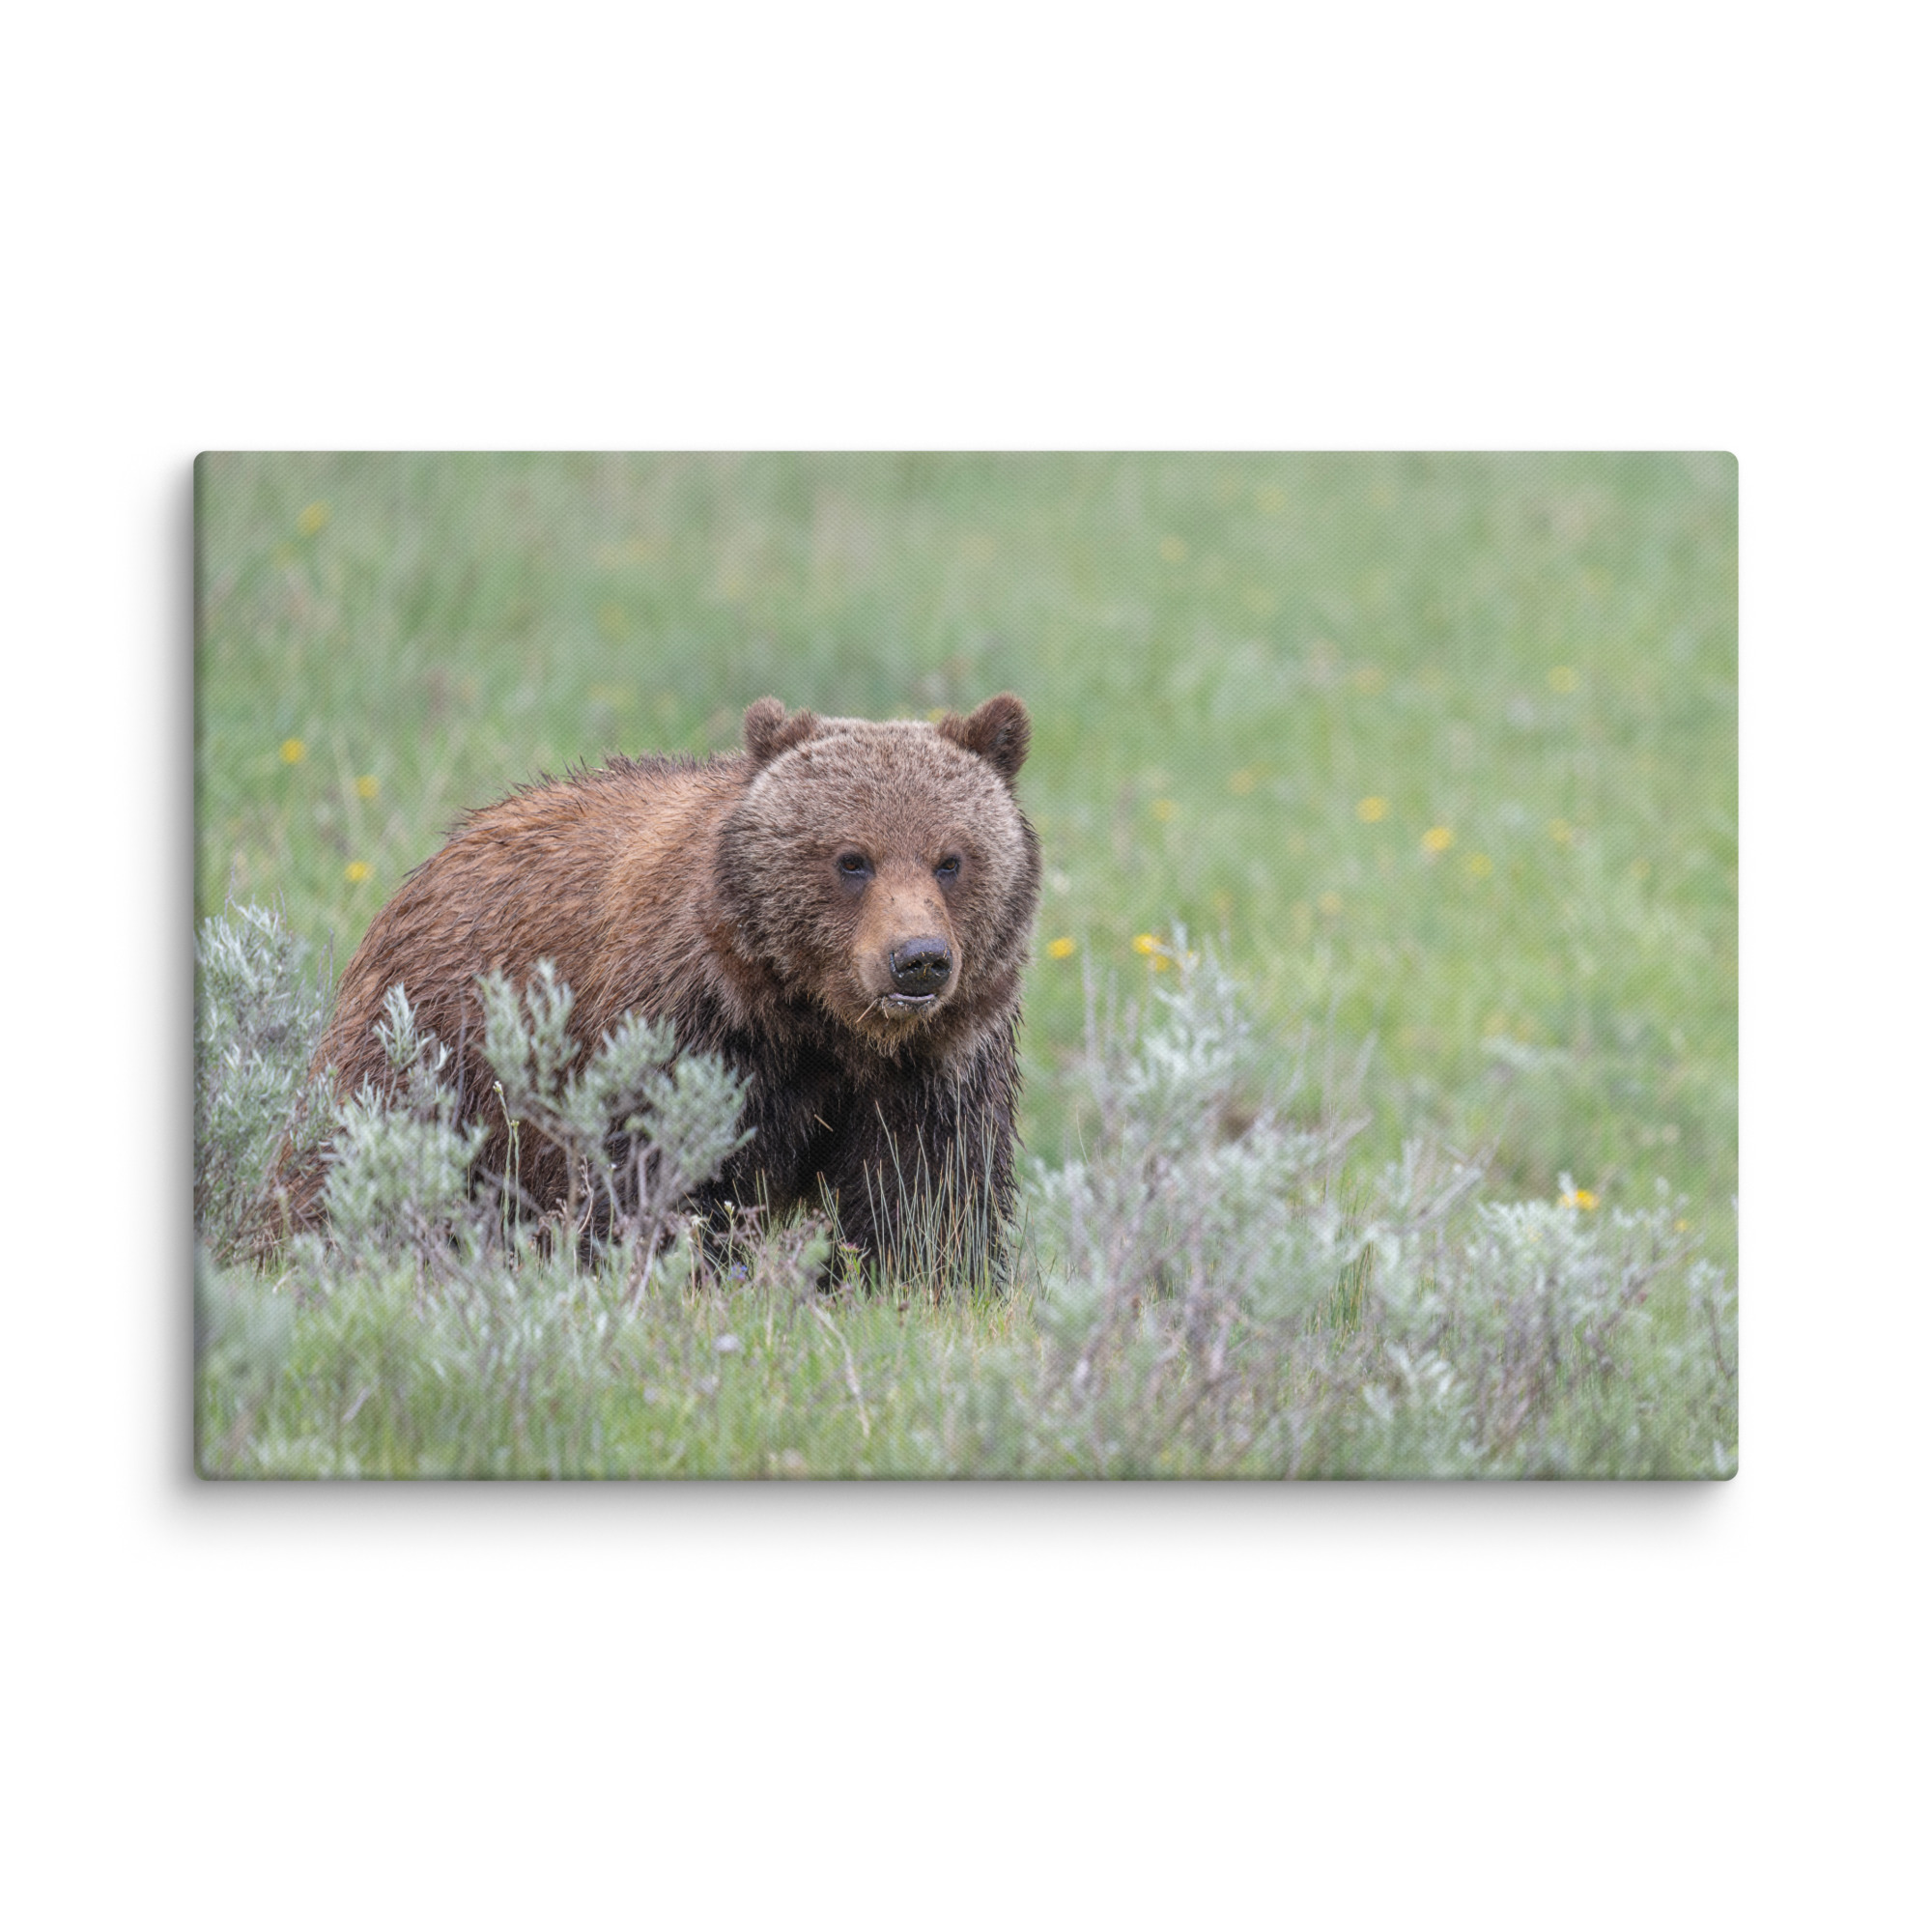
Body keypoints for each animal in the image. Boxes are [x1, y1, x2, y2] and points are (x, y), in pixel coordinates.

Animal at [286, 693, 1041, 1281]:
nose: (918, 960)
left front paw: (914, 1280)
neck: (820, 1024)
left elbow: (925, 1196)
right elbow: (653, 1177)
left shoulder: (935, 1066)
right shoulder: (688, 1029)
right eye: (852, 859)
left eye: (951, 859)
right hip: (434, 1044)